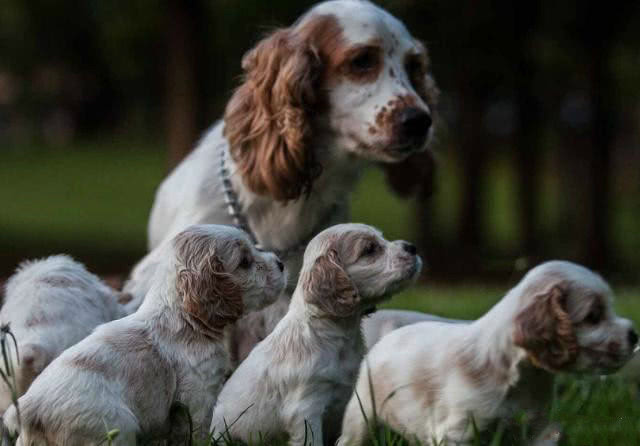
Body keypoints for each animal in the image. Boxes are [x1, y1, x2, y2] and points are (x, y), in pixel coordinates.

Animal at [1, 225, 288, 446]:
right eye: (245, 262)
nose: (282, 263)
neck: (183, 319)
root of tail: (30, 410)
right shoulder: (197, 398)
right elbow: (196, 435)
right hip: (115, 428)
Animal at [338, 260, 636, 444]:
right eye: (594, 316)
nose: (635, 335)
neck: (522, 376)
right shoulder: (457, 433)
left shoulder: (536, 430)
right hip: (361, 415)